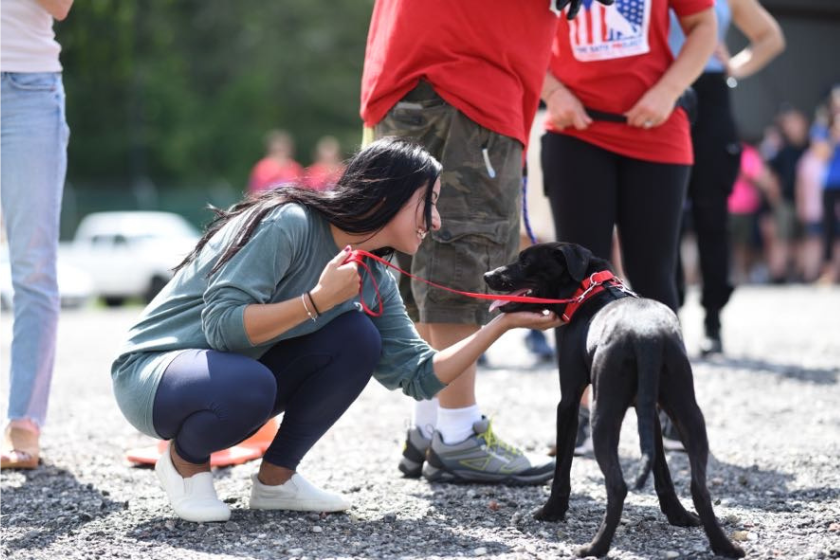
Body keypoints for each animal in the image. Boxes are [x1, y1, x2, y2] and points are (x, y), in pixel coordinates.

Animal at [482, 244, 744, 560]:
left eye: (525, 261)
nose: (487, 275)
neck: (588, 290)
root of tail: (646, 337)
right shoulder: (650, 413)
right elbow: (662, 470)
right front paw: (677, 515)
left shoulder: (568, 402)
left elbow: (562, 468)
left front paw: (552, 511)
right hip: (689, 414)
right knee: (700, 488)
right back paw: (724, 546)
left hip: (602, 418)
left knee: (617, 487)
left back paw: (596, 547)